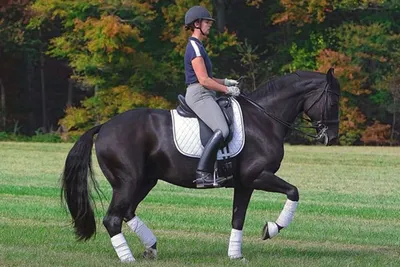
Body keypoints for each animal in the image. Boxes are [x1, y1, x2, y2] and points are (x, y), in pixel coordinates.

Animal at [61, 69, 340, 264]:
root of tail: (104, 127)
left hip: (145, 181)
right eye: (333, 101)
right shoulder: (258, 176)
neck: (264, 119)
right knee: (113, 218)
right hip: (128, 181)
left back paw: (151, 247)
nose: (331, 137)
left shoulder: (245, 183)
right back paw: (128, 258)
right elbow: (293, 192)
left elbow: (238, 217)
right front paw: (272, 229)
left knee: (127, 212)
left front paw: (235, 255)